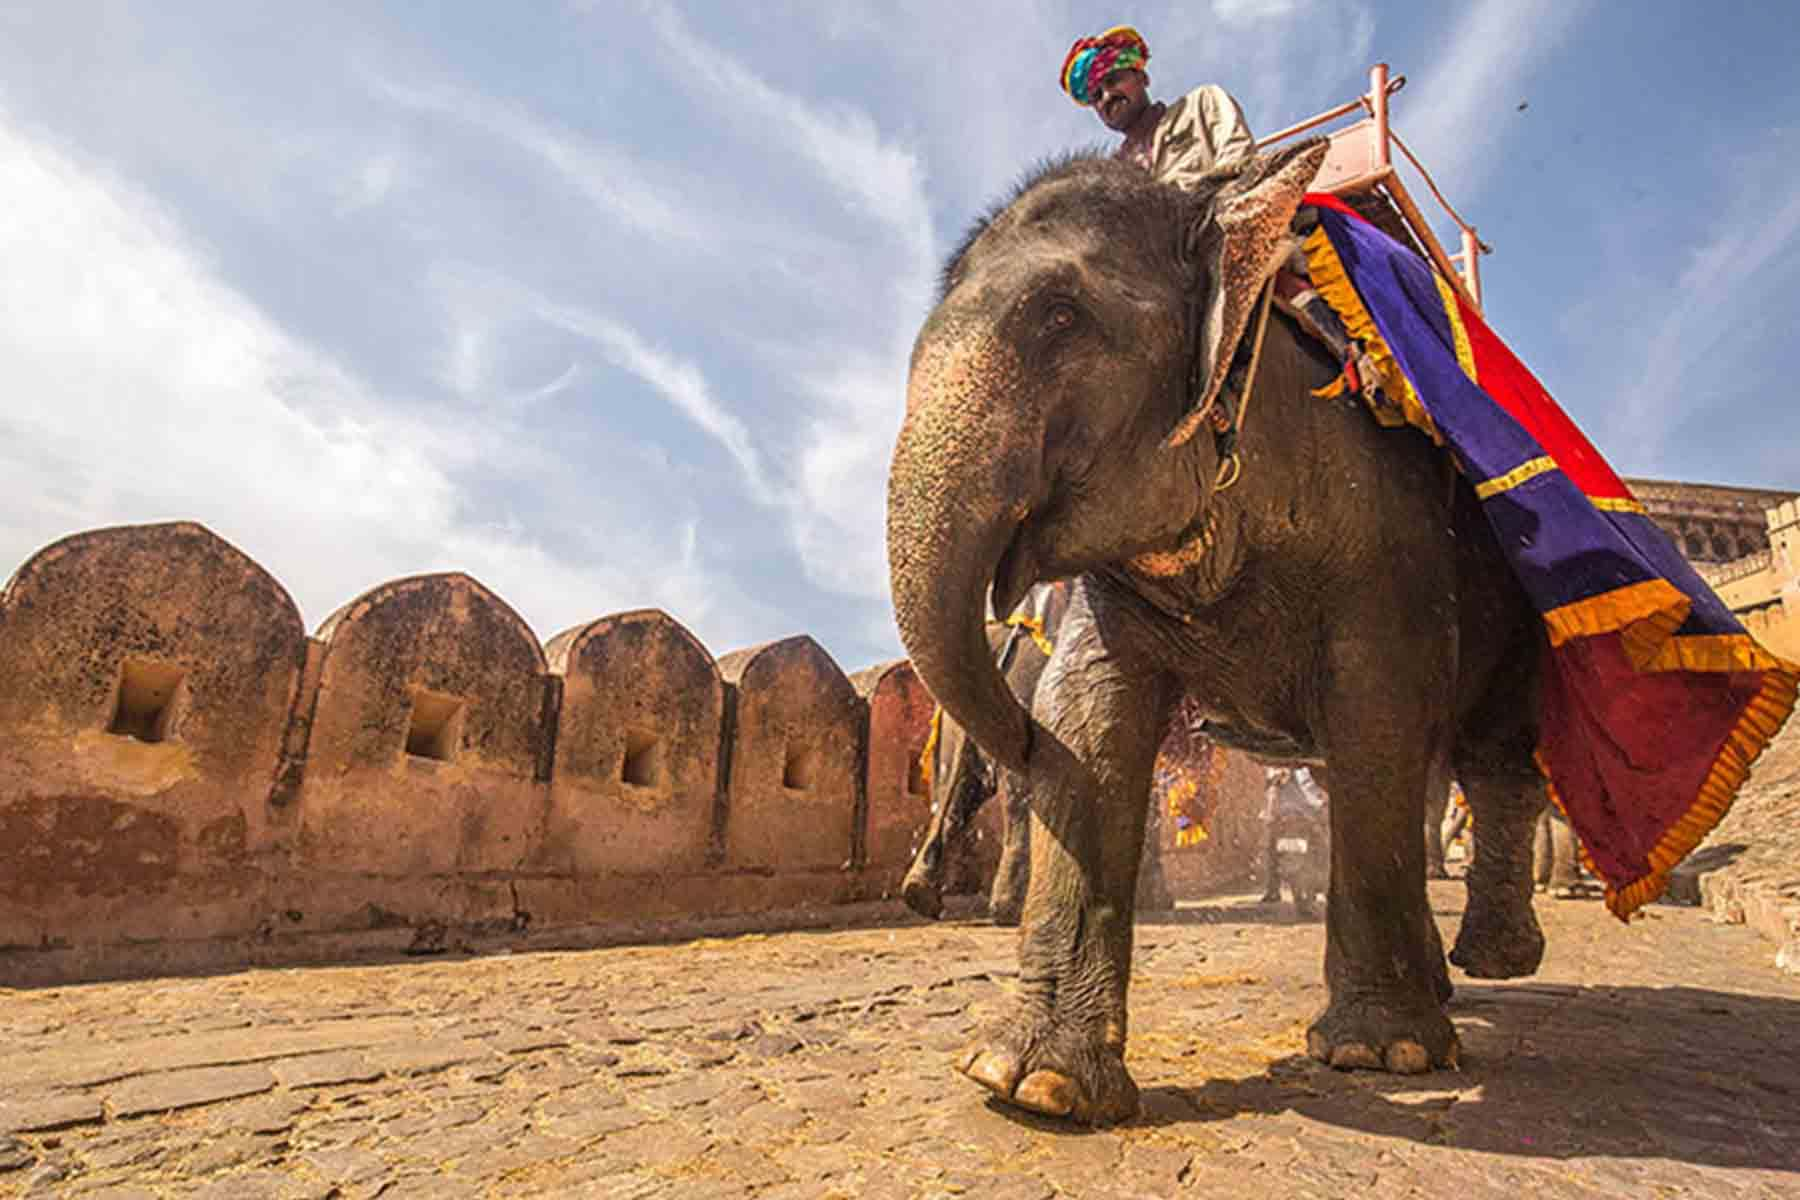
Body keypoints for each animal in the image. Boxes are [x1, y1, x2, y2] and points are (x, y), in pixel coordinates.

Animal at [882, 145, 1548, 1129]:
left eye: (1061, 316)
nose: (921, 890)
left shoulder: (1389, 532)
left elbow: (1378, 712)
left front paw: (1379, 1054)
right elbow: (1088, 718)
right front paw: (1031, 1085)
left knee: (1489, 757)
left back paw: (1492, 962)